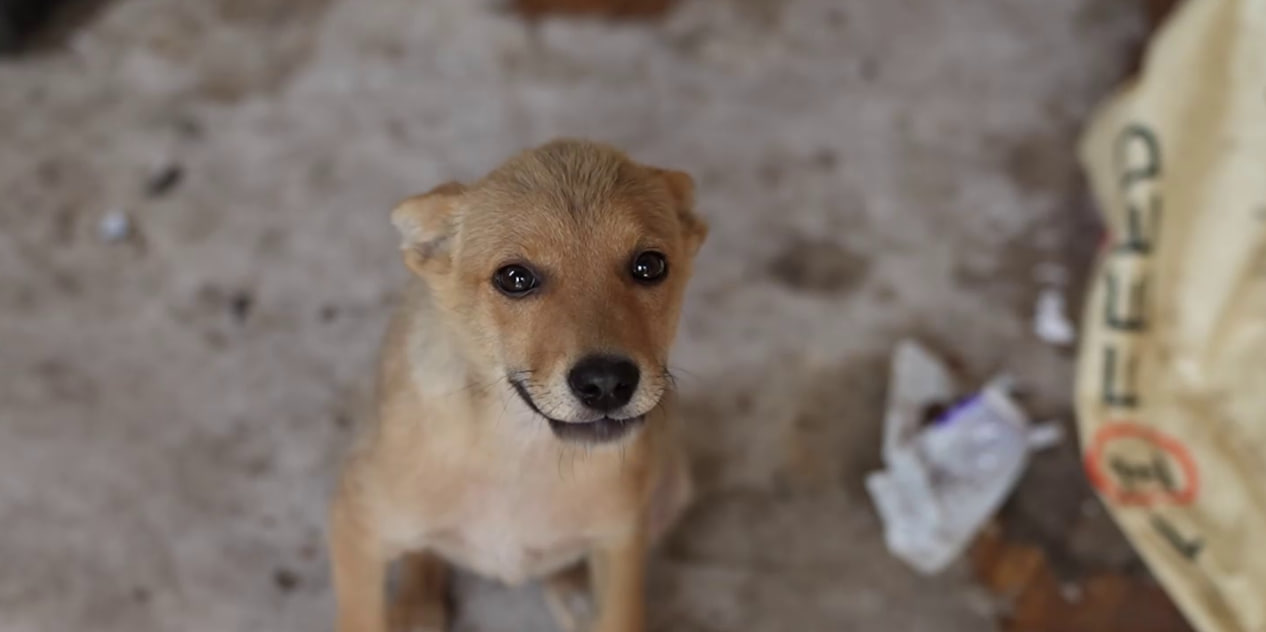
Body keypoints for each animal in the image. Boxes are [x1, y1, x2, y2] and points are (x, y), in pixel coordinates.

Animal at [329, 139, 703, 632]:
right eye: (515, 278)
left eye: (649, 265)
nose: (607, 383)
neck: (518, 448)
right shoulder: (356, 528)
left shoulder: (622, 544)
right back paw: (417, 602)